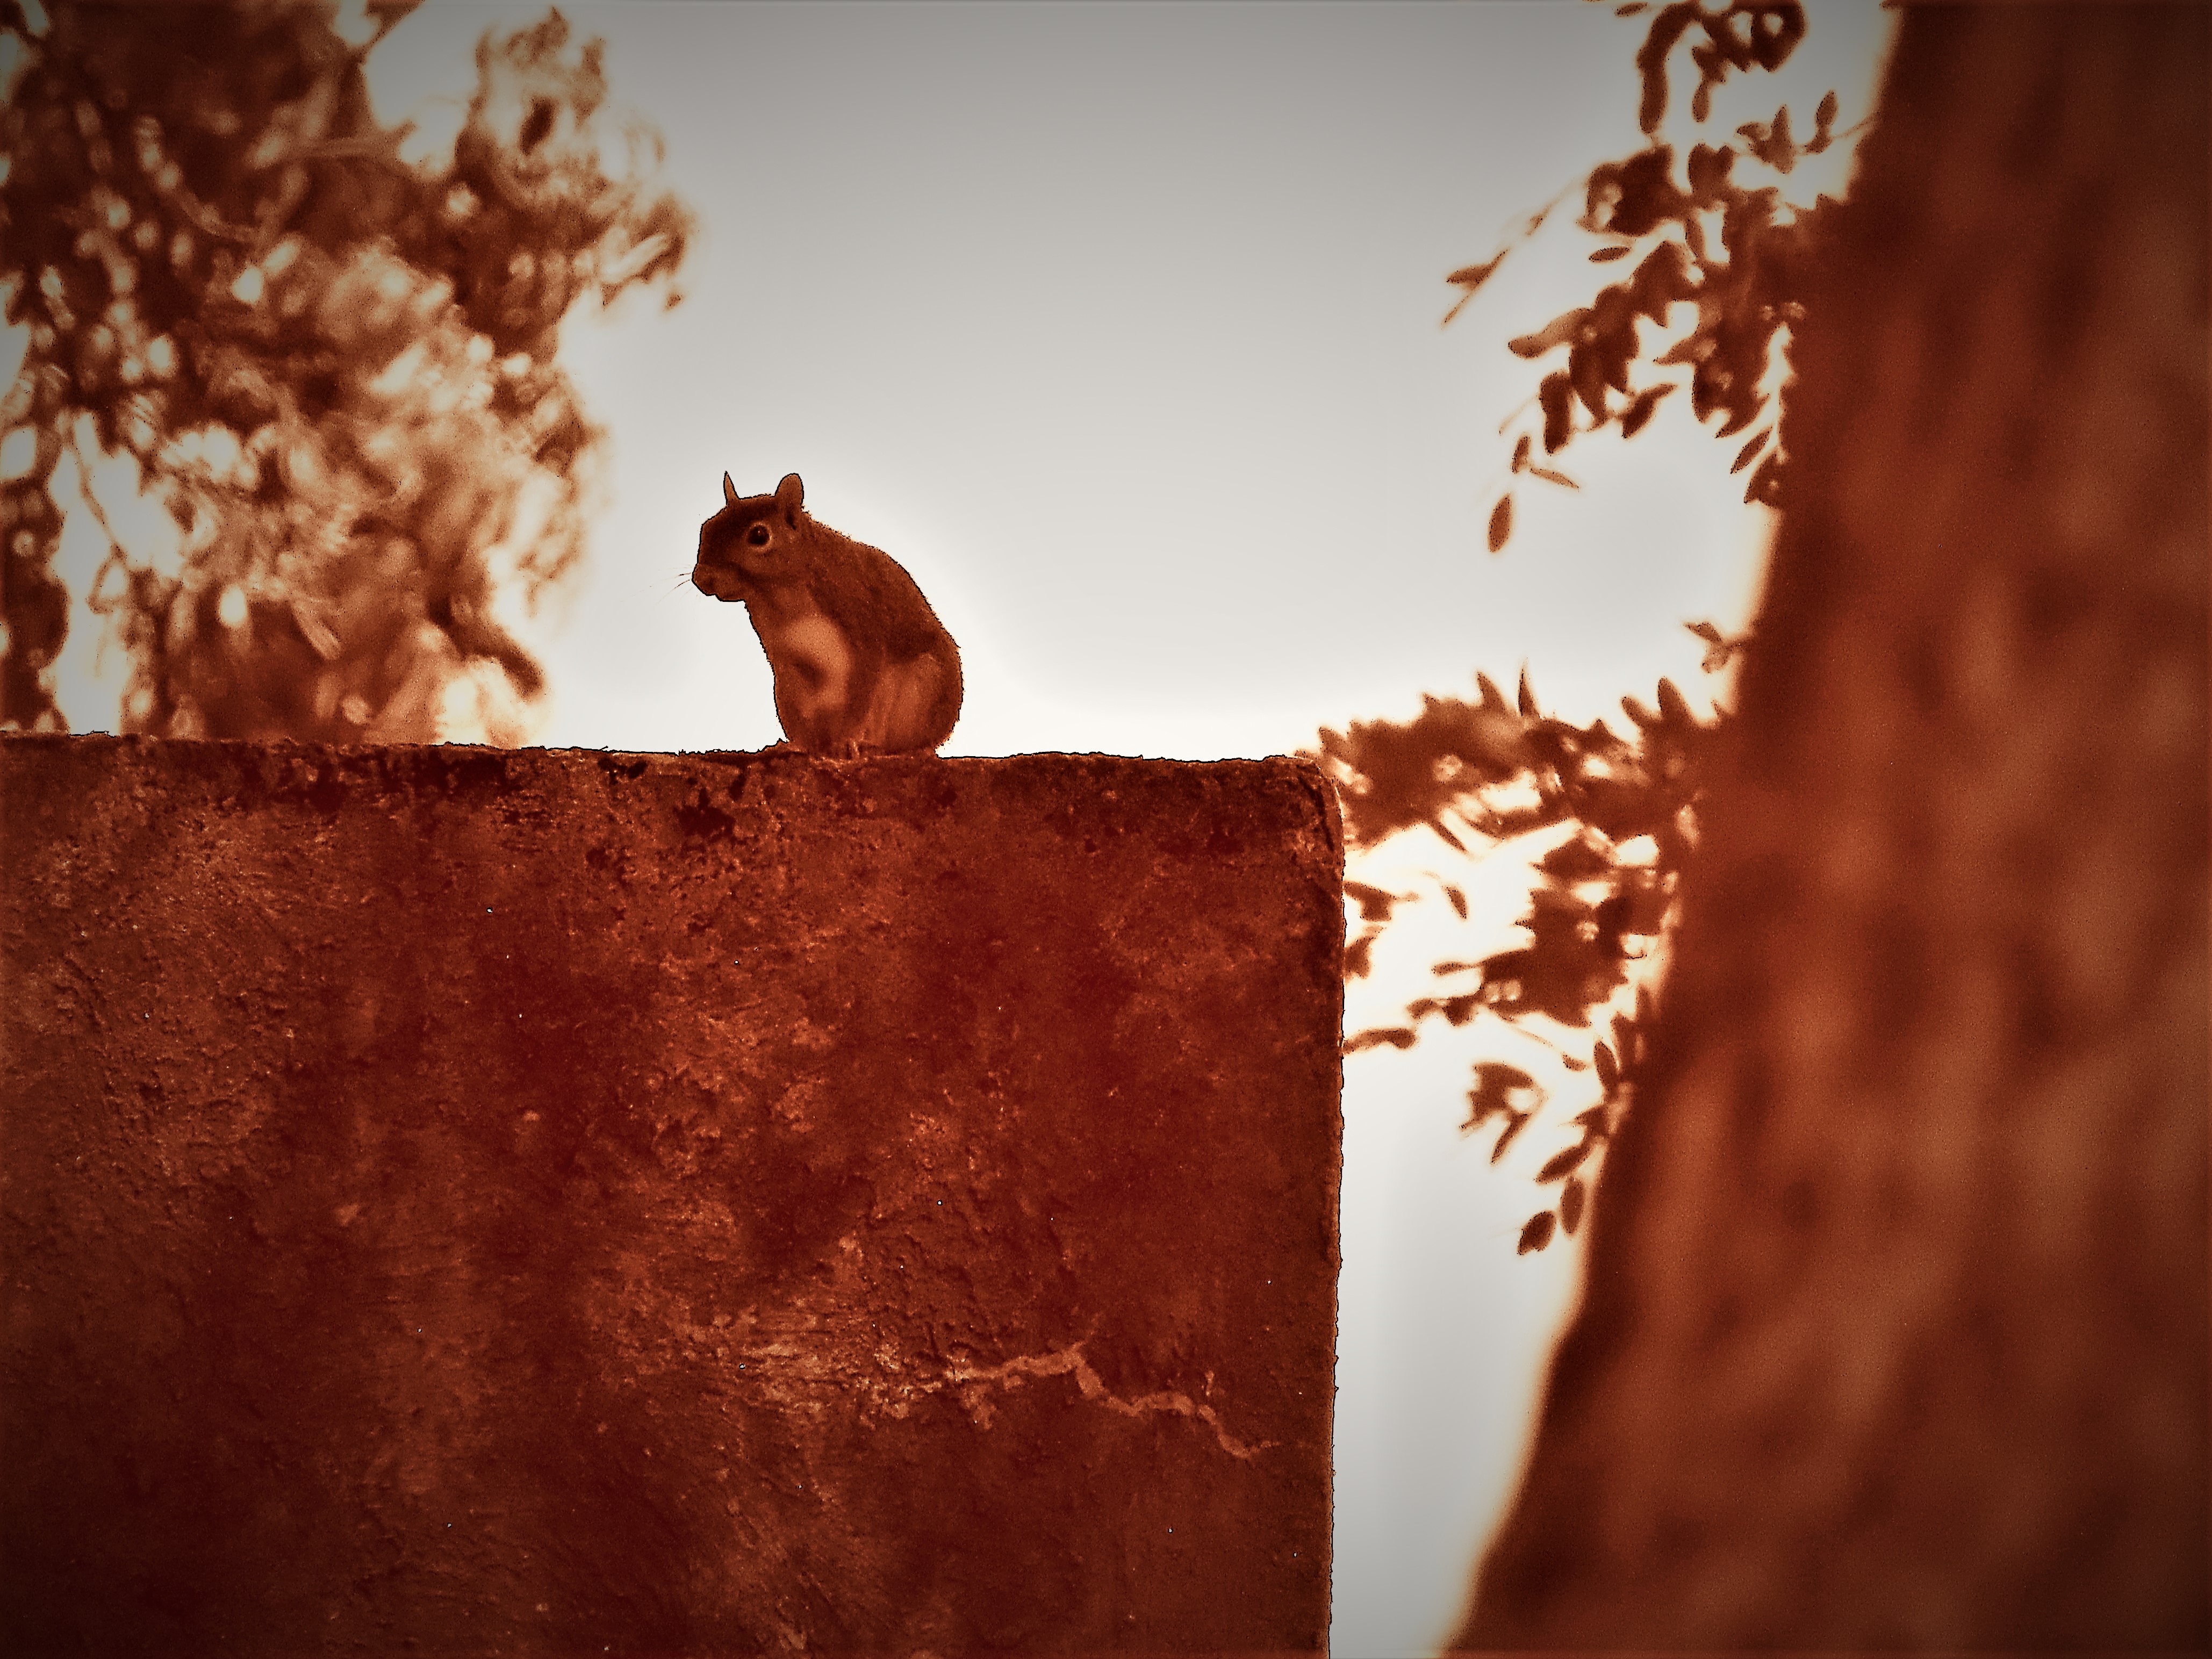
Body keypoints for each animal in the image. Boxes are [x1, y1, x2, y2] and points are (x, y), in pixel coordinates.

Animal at [692, 472, 963, 756]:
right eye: (706, 527)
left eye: (759, 535)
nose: (702, 579)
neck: (777, 595)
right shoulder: (785, 663)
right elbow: (798, 713)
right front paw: (797, 744)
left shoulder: (862, 626)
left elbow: (862, 692)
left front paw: (848, 739)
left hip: (923, 691)